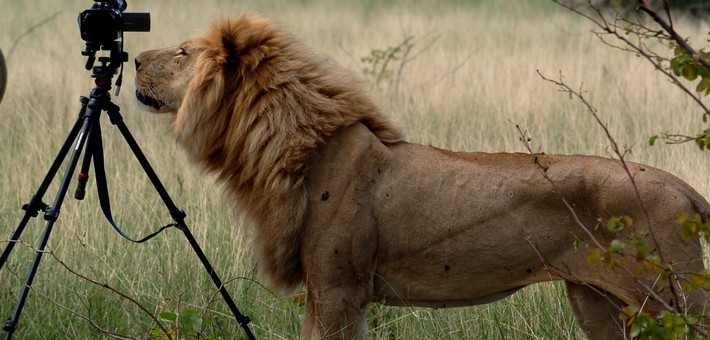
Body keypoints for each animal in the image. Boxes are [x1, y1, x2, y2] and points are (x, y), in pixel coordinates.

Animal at [135, 12, 710, 338]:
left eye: (183, 53)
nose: (136, 57)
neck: (294, 150)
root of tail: (686, 191)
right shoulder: (324, 293)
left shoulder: (340, 291)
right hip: (596, 304)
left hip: (672, 302)